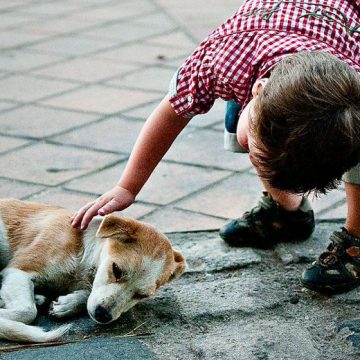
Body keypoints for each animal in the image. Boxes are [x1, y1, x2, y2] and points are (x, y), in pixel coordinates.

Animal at [0, 200, 186, 344]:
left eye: (142, 295)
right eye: (116, 270)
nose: (102, 315)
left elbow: (87, 294)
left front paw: (68, 304)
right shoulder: (19, 270)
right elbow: (28, 311)